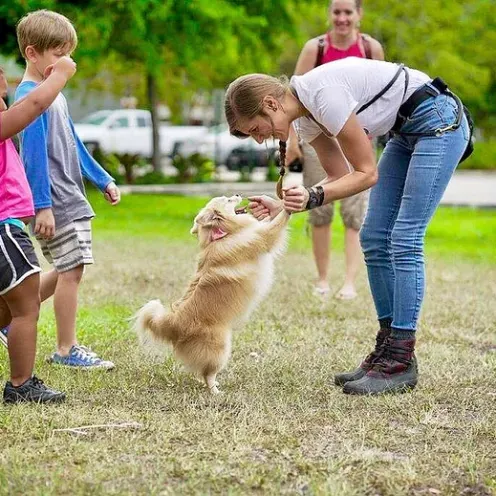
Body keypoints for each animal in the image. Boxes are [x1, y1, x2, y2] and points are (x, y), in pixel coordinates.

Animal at [135, 196, 290, 394]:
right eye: (228, 199)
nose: (238, 194)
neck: (224, 234)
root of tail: (174, 323)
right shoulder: (263, 237)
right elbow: (278, 223)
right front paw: (289, 206)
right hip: (221, 347)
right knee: (208, 372)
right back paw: (215, 391)